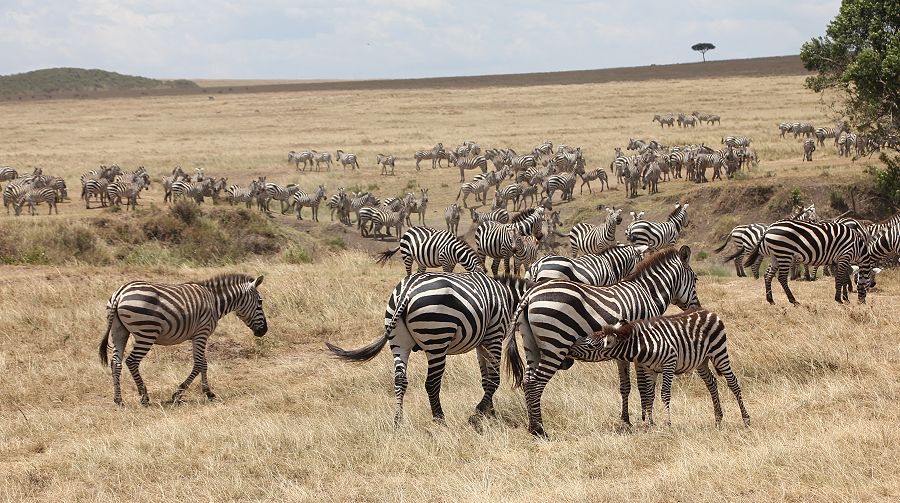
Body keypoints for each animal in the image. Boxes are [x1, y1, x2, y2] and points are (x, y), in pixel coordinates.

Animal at [100, 274, 268, 408]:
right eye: (260, 302)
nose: (264, 331)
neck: (214, 302)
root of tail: (120, 293)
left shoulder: (198, 335)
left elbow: (204, 363)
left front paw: (208, 392)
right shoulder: (202, 332)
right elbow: (199, 364)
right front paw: (177, 394)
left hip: (119, 331)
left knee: (116, 363)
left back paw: (118, 400)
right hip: (147, 332)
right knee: (132, 361)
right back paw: (144, 397)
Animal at [326, 274, 532, 428]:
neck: (509, 299)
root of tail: (407, 291)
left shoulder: (481, 343)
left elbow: (485, 380)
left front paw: (490, 415)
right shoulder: (493, 336)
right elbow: (494, 380)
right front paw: (479, 414)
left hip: (398, 340)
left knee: (400, 379)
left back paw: (398, 422)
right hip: (437, 338)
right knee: (431, 383)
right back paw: (440, 421)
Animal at [502, 246, 700, 436]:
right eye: (696, 279)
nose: (697, 308)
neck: (649, 294)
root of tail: (529, 295)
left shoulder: (625, 350)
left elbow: (625, 386)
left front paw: (626, 420)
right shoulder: (643, 347)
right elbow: (645, 388)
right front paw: (648, 422)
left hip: (531, 344)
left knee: (528, 382)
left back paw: (532, 427)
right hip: (556, 343)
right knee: (536, 384)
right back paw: (540, 431)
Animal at [568, 312, 752, 430]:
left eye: (591, 346)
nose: (569, 348)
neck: (641, 346)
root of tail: (710, 312)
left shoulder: (668, 363)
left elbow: (664, 394)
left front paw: (667, 424)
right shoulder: (650, 369)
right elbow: (649, 395)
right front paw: (650, 423)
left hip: (719, 351)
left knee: (733, 383)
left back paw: (746, 420)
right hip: (702, 360)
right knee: (712, 383)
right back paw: (718, 420)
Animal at [740, 220, 876, 306]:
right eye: (870, 283)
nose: (862, 303)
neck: (858, 248)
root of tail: (768, 229)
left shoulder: (838, 260)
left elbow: (843, 279)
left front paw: (845, 299)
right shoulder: (844, 256)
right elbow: (841, 279)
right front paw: (840, 300)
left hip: (775, 256)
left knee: (768, 276)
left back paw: (771, 300)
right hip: (784, 254)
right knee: (782, 278)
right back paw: (794, 301)